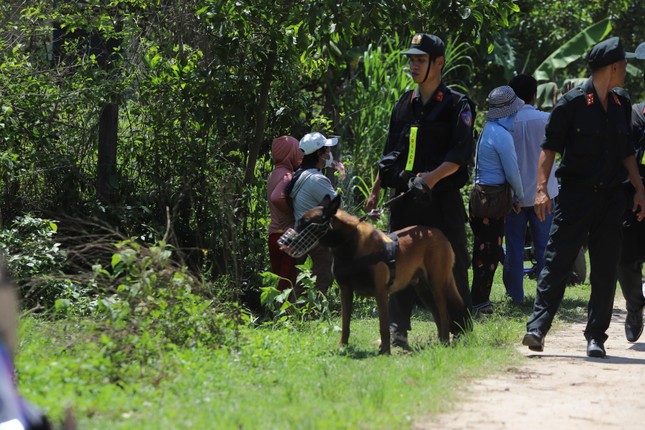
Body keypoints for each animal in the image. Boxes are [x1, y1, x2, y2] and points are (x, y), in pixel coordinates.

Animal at [294, 194, 466, 352]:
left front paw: (384, 351)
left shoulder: (381, 292)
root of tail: (439, 233)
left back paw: (445, 342)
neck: (349, 243)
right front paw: (342, 346)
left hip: (437, 286)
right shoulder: (345, 291)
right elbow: (345, 324)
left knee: (444, 314)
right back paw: (441, 341)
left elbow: (383, 326)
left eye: (305, 222)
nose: (287, 240)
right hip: (424, 291)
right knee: (437, 315)